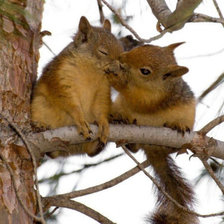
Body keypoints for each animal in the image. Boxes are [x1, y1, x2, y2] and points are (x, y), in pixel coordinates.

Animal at [30, 16, 123, 157]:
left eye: (121, 50)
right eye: (103, 51)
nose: (120, 66)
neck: (91, 71)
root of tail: (72, 149)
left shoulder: (103, 88)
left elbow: (101, 106)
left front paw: (103, 122)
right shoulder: (61, 77)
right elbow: (69, 102)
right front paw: (80, 119)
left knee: (90, 152)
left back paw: (97, 145)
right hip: (39, 104)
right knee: (52, 153)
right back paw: (40, 127)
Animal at [107, 42, 199, 224]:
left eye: (145, 71)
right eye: (142, 47)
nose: (121, 57)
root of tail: (154, 150)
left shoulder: (152, 98)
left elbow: (137, 98)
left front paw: (114, 78)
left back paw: (177, 128)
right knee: (134, 146)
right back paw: (124, 127)